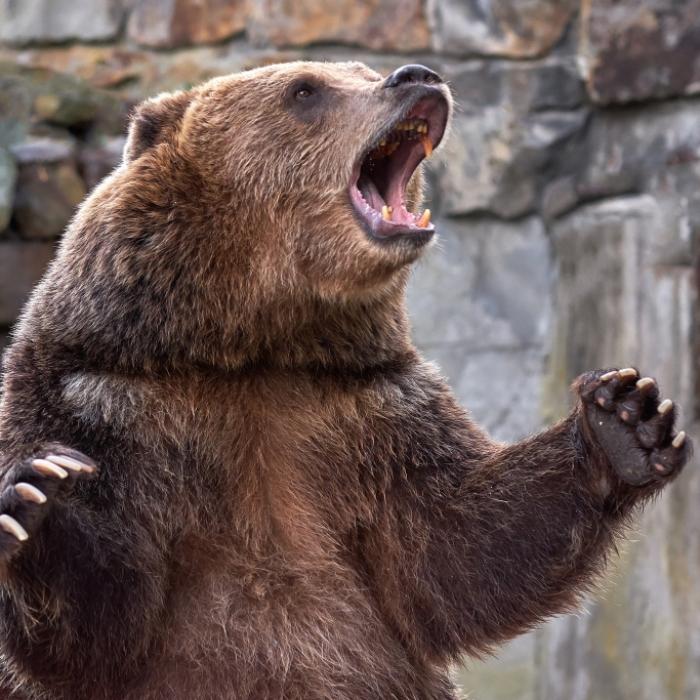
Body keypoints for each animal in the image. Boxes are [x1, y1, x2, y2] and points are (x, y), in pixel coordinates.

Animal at [0, 60, 691, 699]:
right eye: (305, 89)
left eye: (361, 70)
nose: (417, 75)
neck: (255, 344)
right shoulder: (102, 399)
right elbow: (105, 619)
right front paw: (38, 499)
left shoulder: (369, 411)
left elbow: (458, 552)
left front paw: (626, 418)